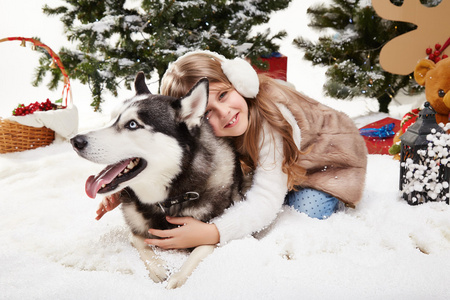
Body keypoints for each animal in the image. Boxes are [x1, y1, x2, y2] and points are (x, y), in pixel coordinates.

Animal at [71, 72, 244, 288]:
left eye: (132, 124)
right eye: (111, 119)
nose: (75, 141)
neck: (168, 200)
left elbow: (204, 246)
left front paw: (177, 278)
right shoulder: (135, 224)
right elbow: (138, 238)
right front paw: (158, 267)